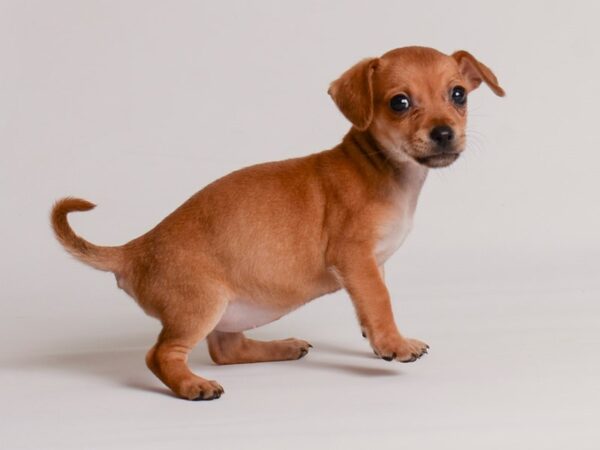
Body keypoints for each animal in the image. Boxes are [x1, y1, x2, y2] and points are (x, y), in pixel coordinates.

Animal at [51, 46, 504, 400]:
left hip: (231, 311)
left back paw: (282, 348)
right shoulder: (355, 257)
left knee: (226, 350)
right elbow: (380, 300)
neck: (387, 170)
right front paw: (394, 343)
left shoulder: (372, 265)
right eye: (399, 103)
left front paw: (377, 339)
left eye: (458, 95)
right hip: (199, 306)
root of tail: (135, 249)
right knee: (160, 354)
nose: (444, 132)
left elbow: (370, 304)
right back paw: (193, 385)